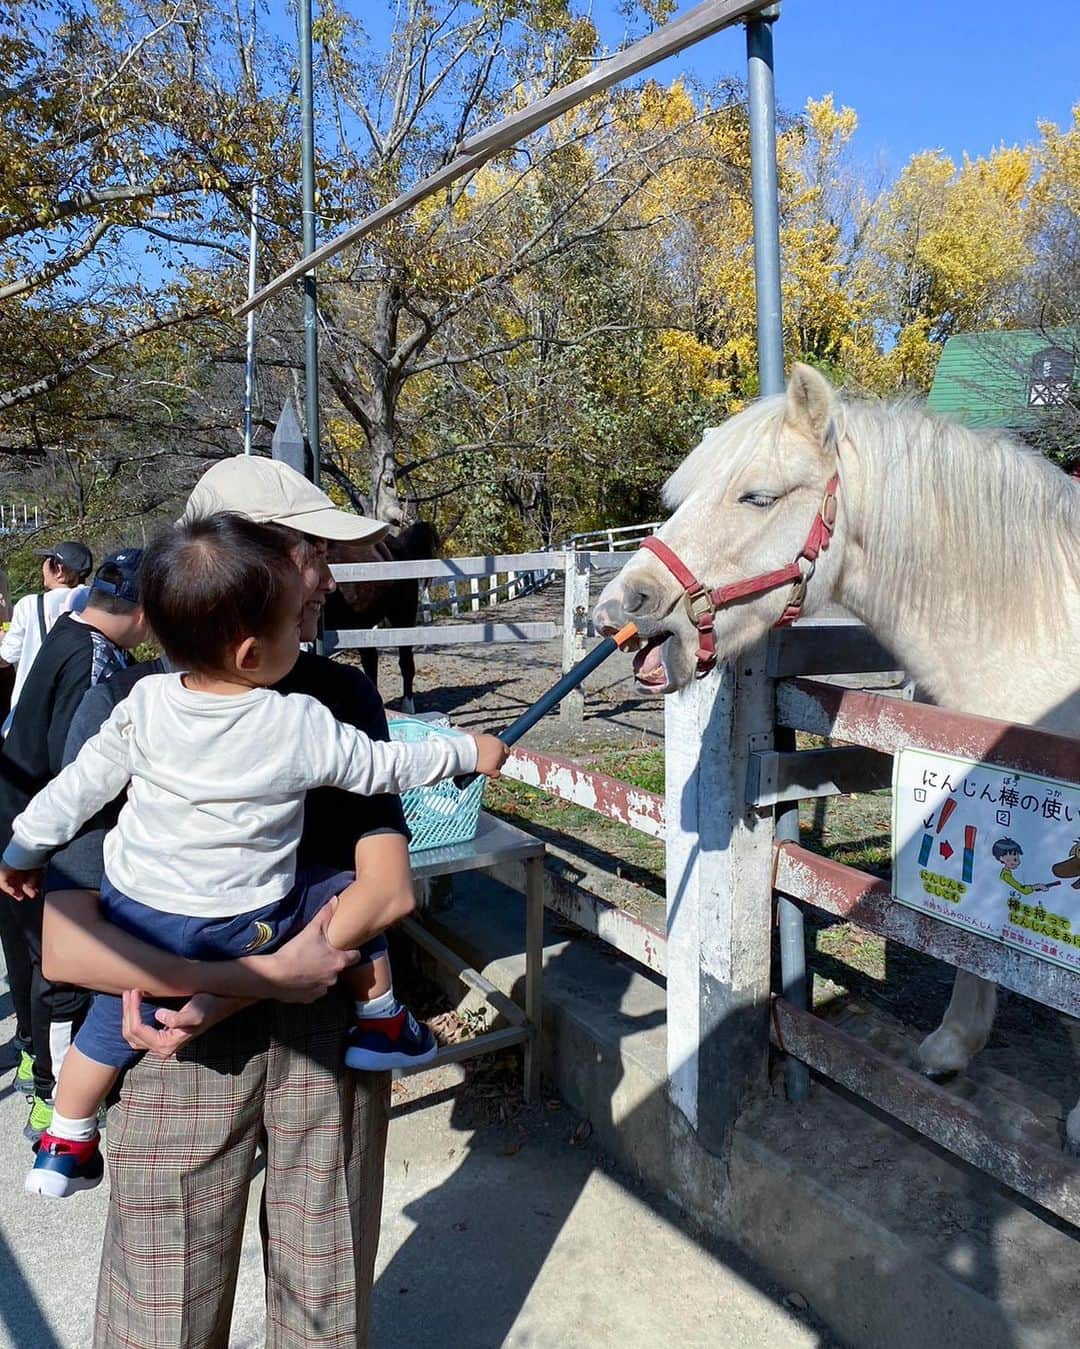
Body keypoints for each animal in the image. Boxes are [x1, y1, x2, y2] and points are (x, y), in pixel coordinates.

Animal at [322, 515, 439, 712]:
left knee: (406, 663)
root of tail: (397, 544)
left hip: (402, 616)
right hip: (361, 625)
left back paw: (407, 708)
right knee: (371, 661)